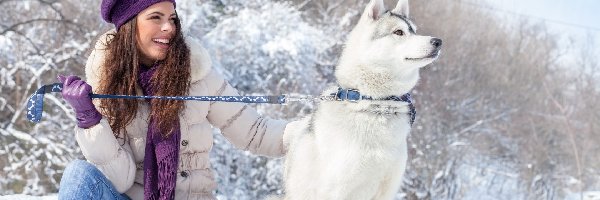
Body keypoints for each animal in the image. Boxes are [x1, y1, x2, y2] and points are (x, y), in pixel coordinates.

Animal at [276, 0, 440, 200]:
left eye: (415, 31)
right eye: (399, 32)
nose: (438, 41)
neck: (375, 104)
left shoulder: (387, 190)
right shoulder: (337, 190)